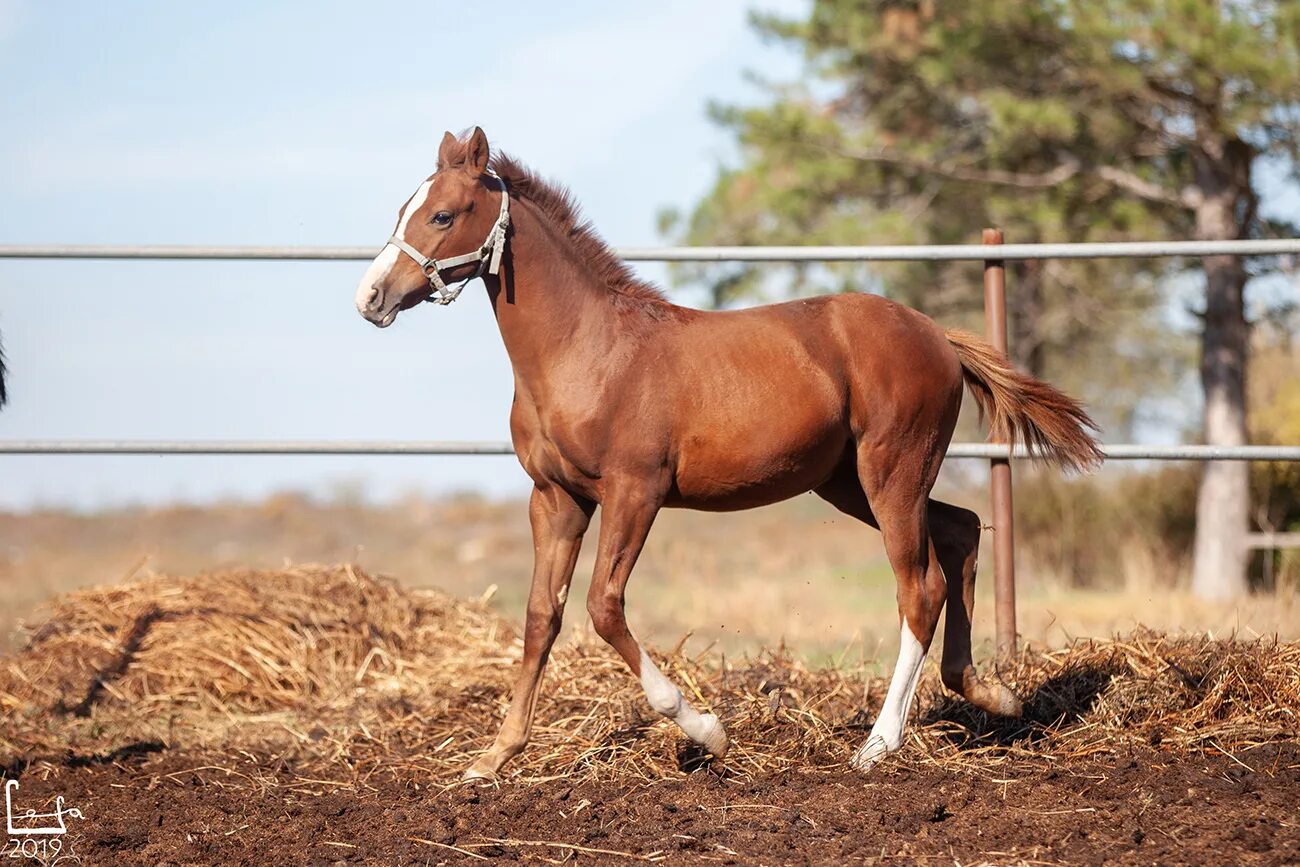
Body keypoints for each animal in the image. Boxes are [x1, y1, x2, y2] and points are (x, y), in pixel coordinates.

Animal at [358, 127, 1107, 779]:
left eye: (443, 214)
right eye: (402, 210)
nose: (371, 297)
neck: (587, 349)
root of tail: (937, 335)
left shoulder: (634, 491)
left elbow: (603, 607)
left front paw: (707, 730)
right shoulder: (556, 498)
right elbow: (542, 616)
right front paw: (492, 759)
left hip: (890, 470)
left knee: (918, 586)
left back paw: (878, 744)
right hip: (850, 481)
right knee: (960, 531)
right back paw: (990, 692)